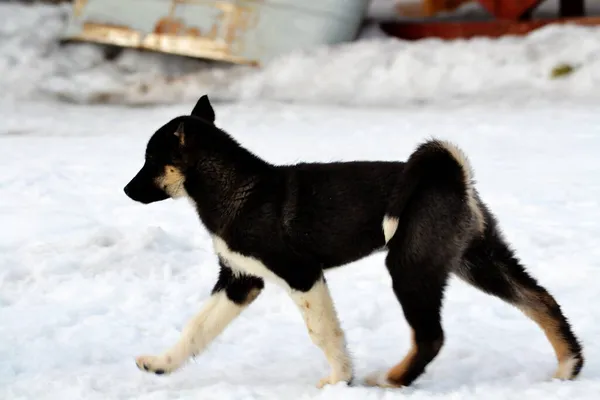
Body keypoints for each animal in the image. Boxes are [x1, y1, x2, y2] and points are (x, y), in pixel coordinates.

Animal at [124, 94, 584, 388]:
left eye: (150, 160)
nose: (126, 191)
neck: (237, 188)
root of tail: (452, 177)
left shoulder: (302, 275)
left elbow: (323, 332)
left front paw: (339, 380)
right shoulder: (240, 281)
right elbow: (197, 329)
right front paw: (162, 365)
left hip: (411, 268)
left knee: (431, 337)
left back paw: (393, 379)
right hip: (477, 259)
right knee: (540, 300)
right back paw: (569, 366)